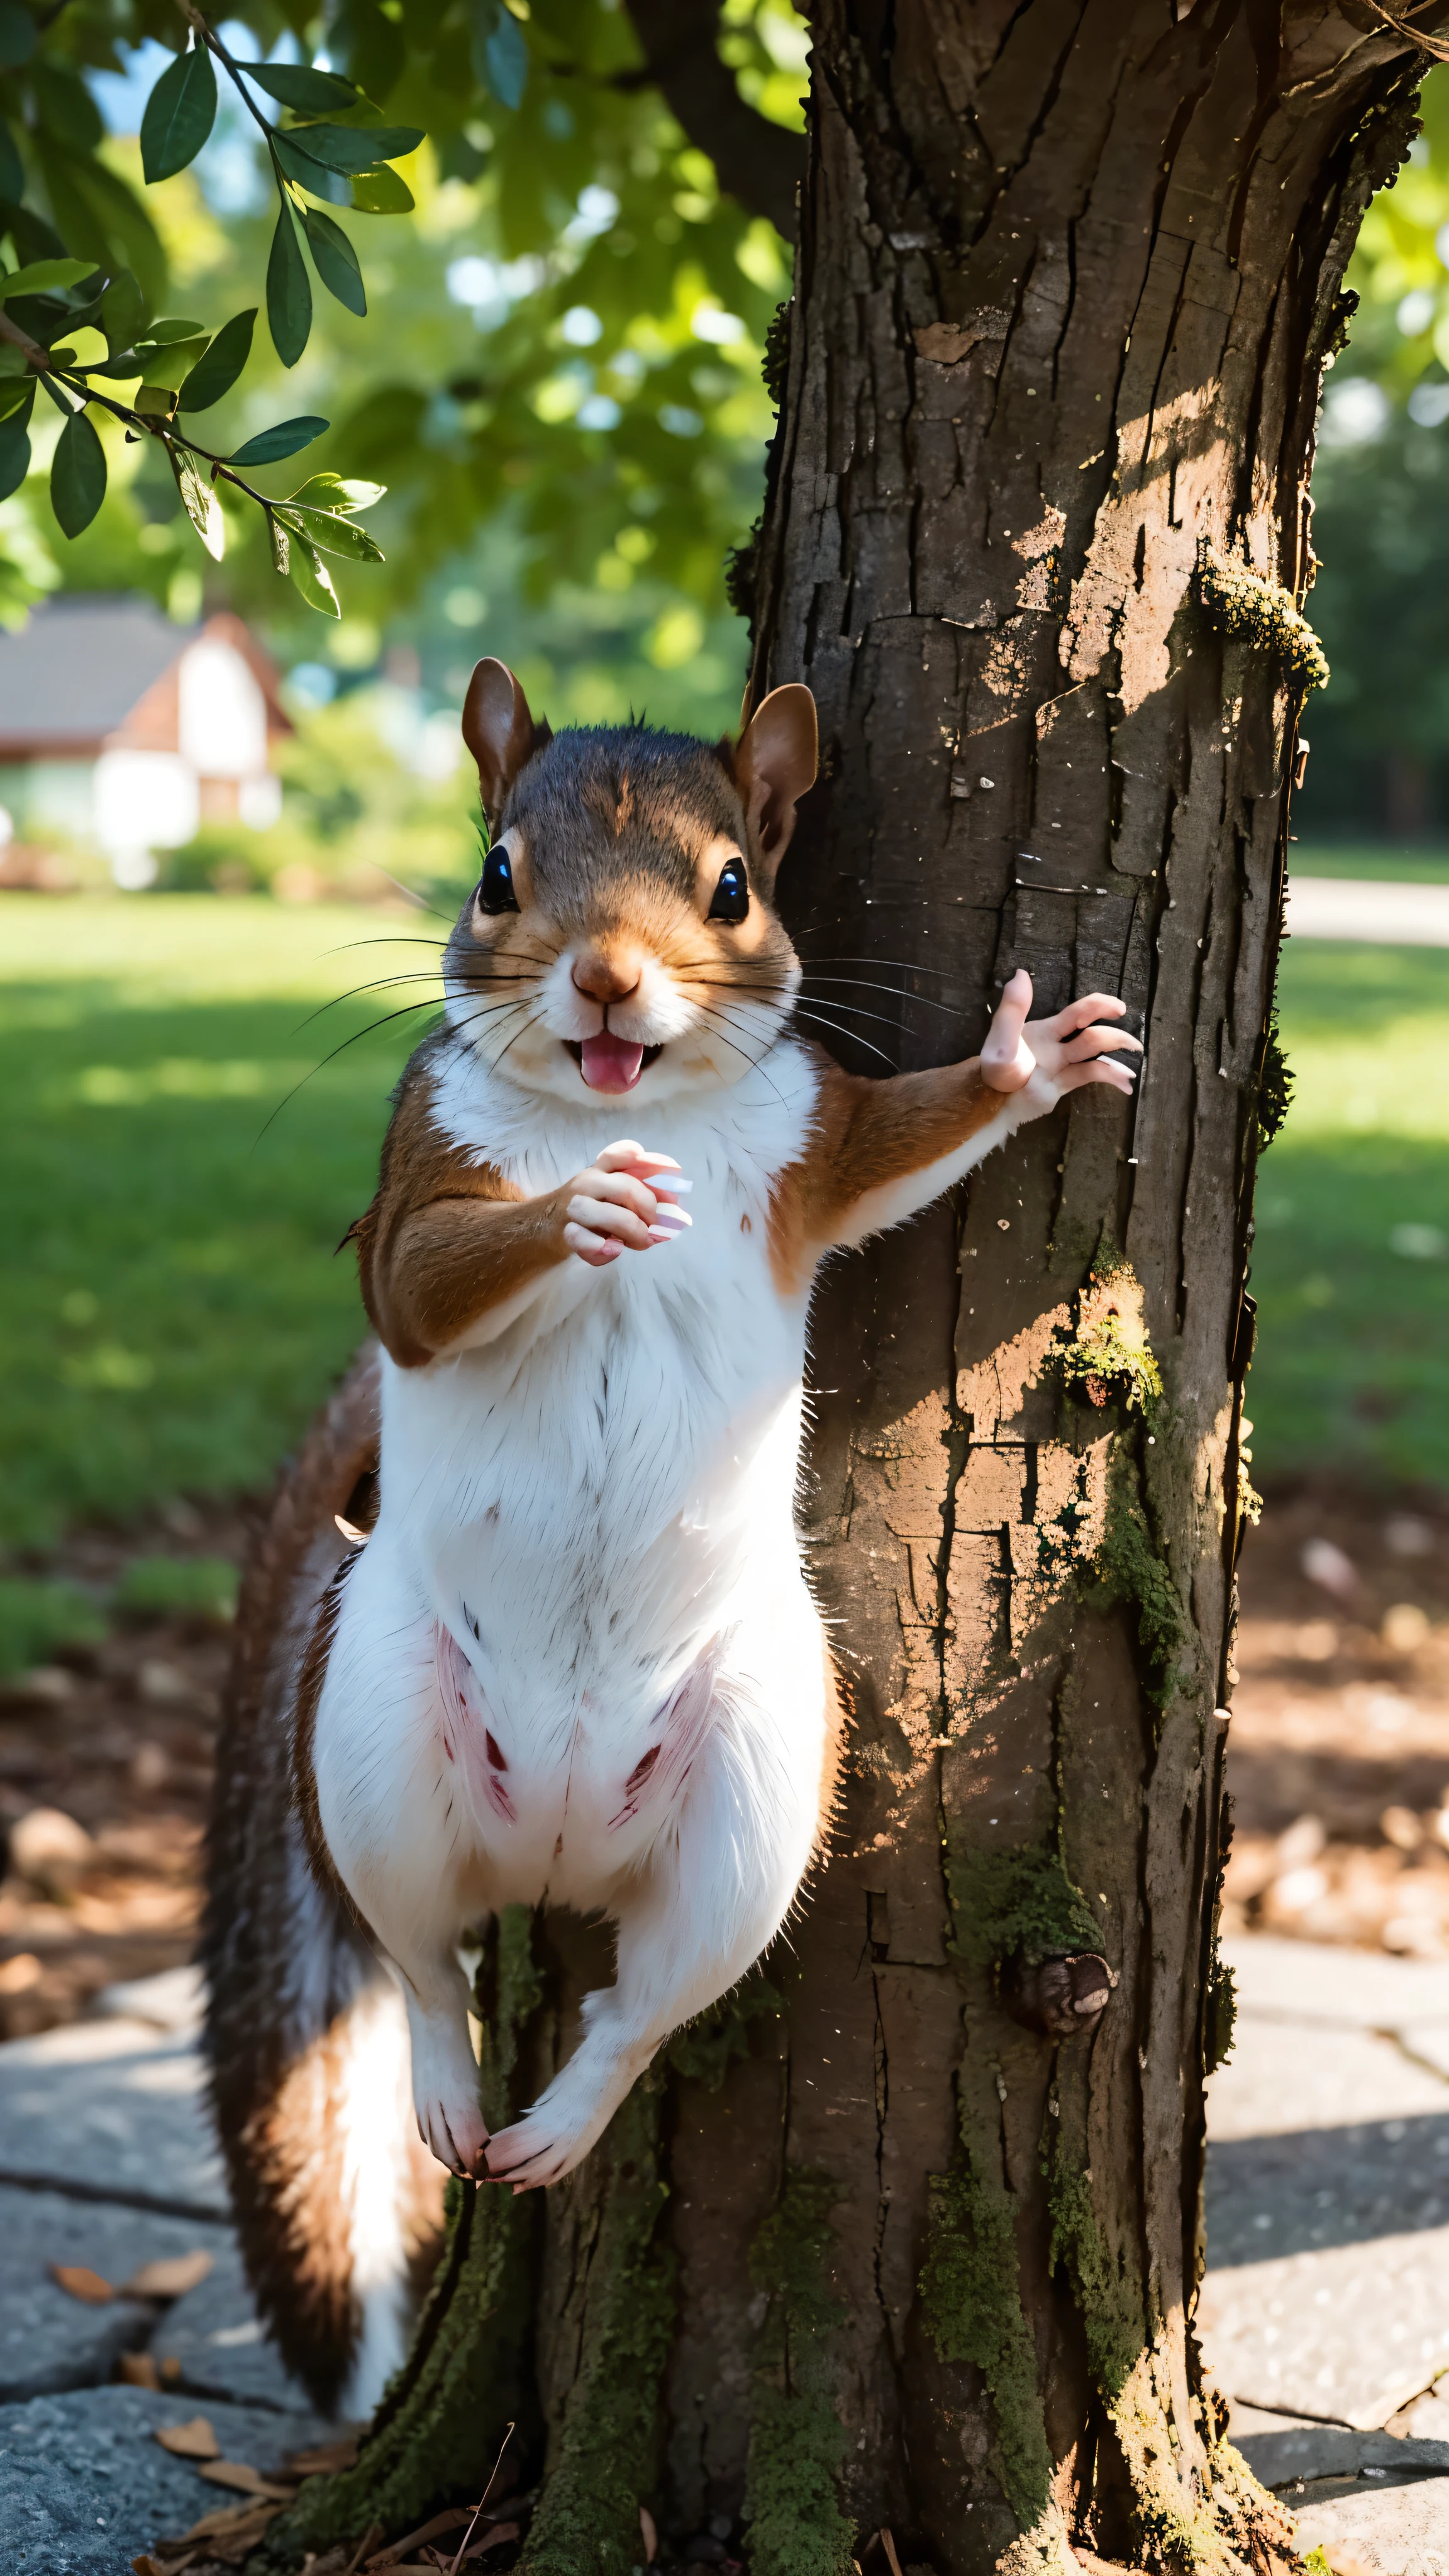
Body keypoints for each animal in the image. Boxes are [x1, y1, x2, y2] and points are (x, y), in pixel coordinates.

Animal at [197, 669, 1134, 2411]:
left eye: (735, 886)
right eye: (496, 873)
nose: (608, 979)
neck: (630, 1107)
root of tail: (557, 1840)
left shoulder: (814, 1151)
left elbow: (901, 1147)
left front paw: (1028, 1059)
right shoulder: (410, 1185)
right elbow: (419, 1283)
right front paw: (579, 1214)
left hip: (759, 1786)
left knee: (640, 2008)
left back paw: (560, 2123)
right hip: (366, 1734)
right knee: (422, 1963)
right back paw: (456, 2094)